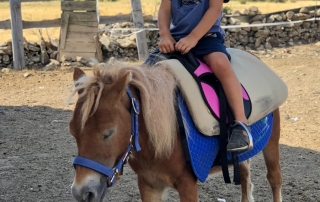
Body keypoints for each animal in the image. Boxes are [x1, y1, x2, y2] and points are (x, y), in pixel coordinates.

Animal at [69, 62, 282, 201]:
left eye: (109, 132)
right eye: (73, 133)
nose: (81, 192)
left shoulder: (187, 185)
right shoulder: (148, 185)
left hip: (272, 143)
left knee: (274, 180)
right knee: (245, 178)